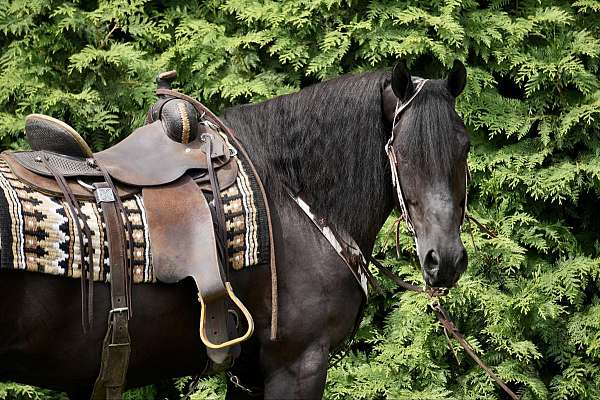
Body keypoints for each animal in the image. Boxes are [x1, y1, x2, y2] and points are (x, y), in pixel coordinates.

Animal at [0, 61, 468, 398]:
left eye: (464, 147)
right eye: (402, 152)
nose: (444, 259)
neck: (290, 197)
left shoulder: (250, 373)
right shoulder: (298, 365)